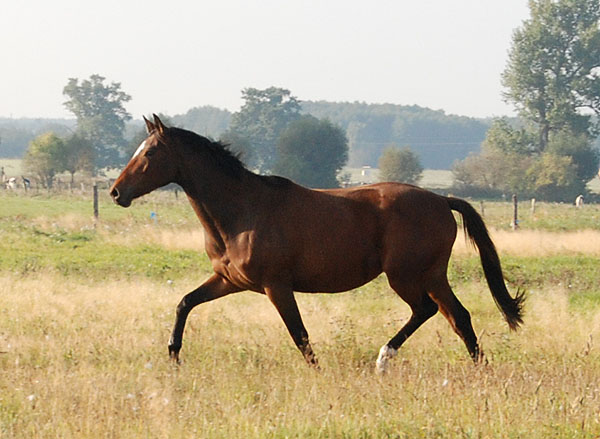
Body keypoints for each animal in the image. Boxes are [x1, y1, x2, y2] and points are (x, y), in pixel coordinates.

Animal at [110, 114, 524, 372]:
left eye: (149, 153)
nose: (116, 193)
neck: (242, 211)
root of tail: (441, 200)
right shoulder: (229, 281)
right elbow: (185, 303)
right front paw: (173, 356)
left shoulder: (276, 286)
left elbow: (300, 334)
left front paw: (318, 372)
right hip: (433, 275)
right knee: (459, 317)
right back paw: (480, 369)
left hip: (405, 276)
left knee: (426, 310)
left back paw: (383, 359)